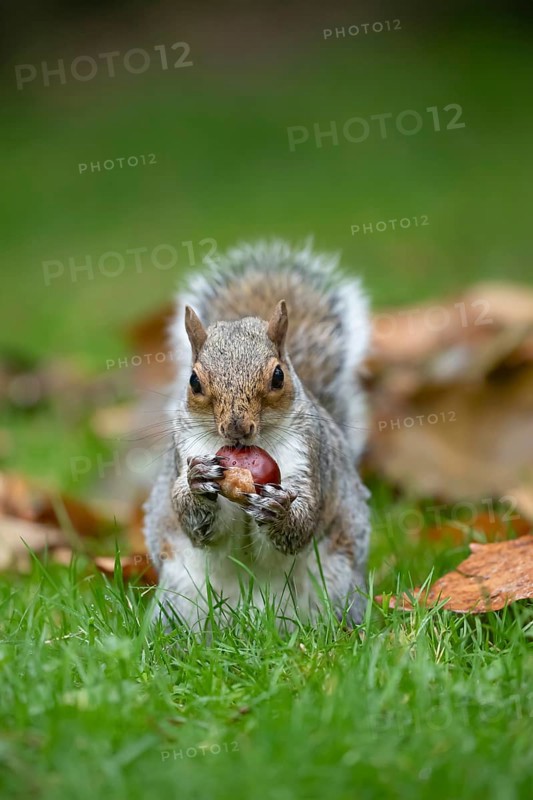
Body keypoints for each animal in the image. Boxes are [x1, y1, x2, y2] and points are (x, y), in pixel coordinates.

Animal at [144, 240, 371, 630]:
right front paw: (197, 481)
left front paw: (279, 511)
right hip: (181, 596)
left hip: (336, 589)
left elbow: (301, 526)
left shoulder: (309, 455)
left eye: (278, 376)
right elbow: (196, 525)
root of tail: (249, 621)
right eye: (194, 381)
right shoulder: (183, 448)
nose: (237, 427)